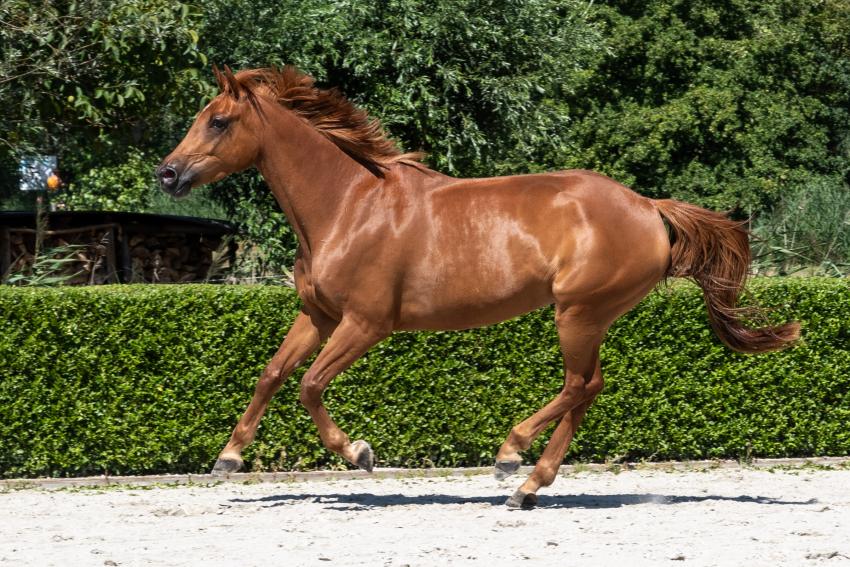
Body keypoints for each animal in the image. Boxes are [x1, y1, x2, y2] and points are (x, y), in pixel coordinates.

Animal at [157, 65, 799, 509]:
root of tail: (648, 207)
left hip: (577, 312)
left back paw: (511, 458)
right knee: (589, 388)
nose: (167, 173)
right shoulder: (318, 315)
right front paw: (227, 458)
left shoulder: (366, 323)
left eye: (218, 121)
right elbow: (272, 374)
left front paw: (359, 453)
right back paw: (529, 487)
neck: (348, 205)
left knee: (579, 384)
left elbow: (311, 385)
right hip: (587, 316)